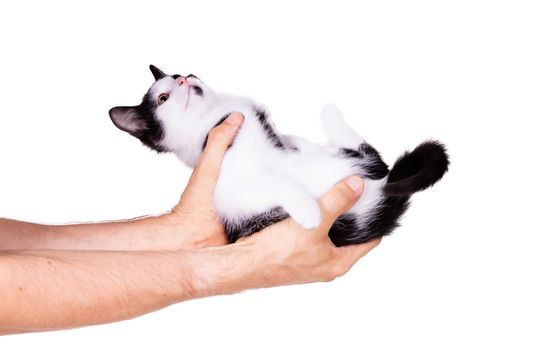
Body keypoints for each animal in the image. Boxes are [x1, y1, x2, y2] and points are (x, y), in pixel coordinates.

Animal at [110, 65, 450, 246]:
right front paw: (309, 210)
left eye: (182, 73)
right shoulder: (234, 196)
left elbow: (295, 141)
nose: (184, 78)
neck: (215, 116)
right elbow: (277, 183)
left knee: (371, 157)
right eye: (163, 98)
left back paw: (331, 117)